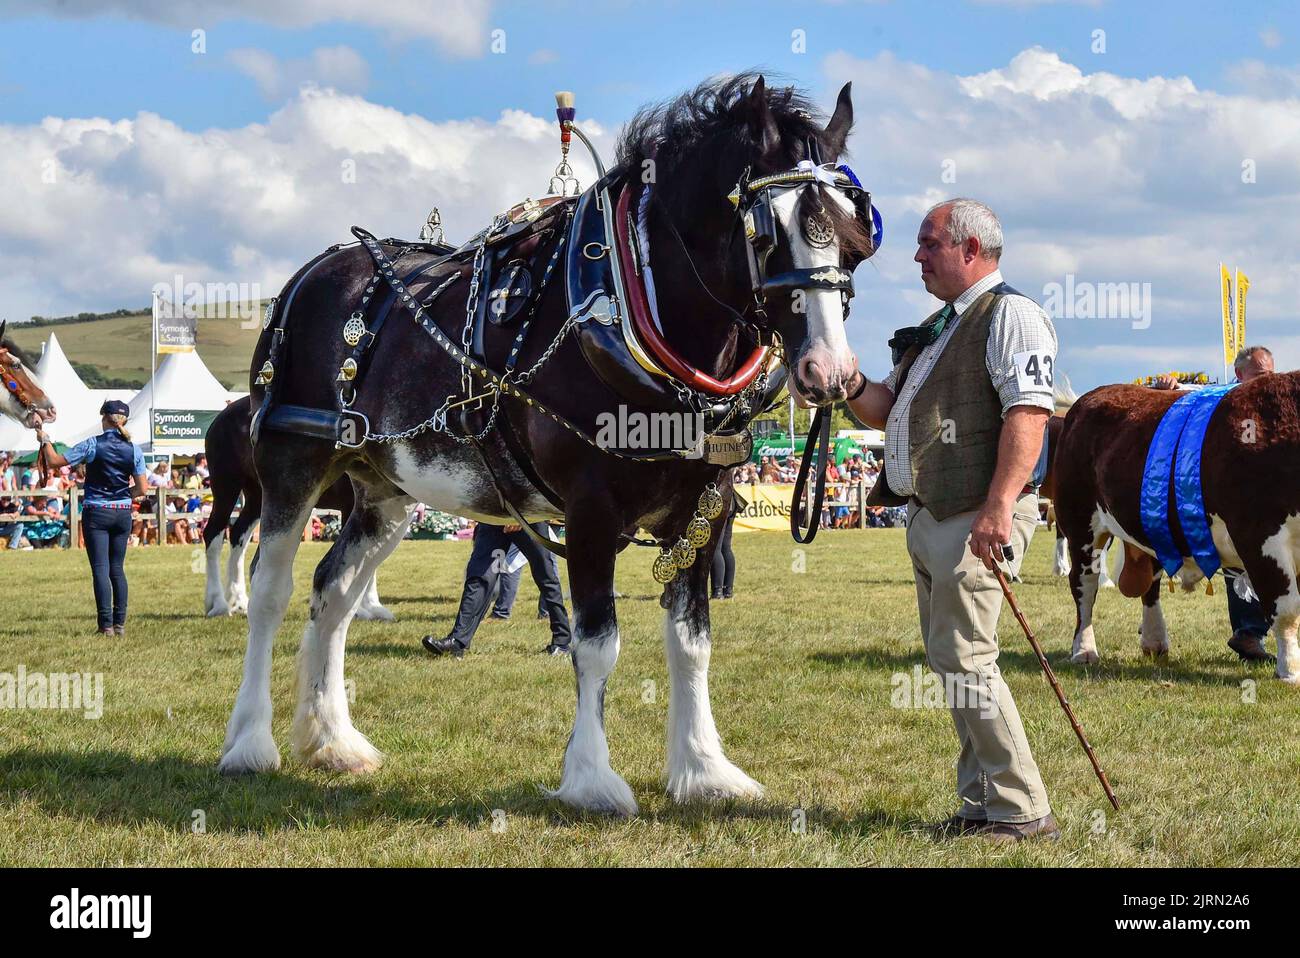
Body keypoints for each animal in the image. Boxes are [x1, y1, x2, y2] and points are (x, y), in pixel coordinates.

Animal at [220, 74, 873, 816]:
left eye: (855, 237)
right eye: (767, 234)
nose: (831, 372)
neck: (635, 307)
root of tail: (320, 270)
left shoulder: (702, 512)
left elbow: (691, 641)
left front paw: (704, 770)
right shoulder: (590, 514)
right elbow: (598, 644)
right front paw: (591, 778)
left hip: (385, 492)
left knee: (333, 594)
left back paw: (333, 741)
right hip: (291, 463)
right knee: (271, 590)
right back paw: (249, 742)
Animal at [1055, 374, 1300, 681]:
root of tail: (1091, 396)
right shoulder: (1260, 535)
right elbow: (1287, 610)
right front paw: (1290, 672)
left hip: (1154, 527)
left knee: (1151, 581)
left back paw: (1154, 641)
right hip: (1079, 522)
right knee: (1084, 584)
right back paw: (1084, 650)